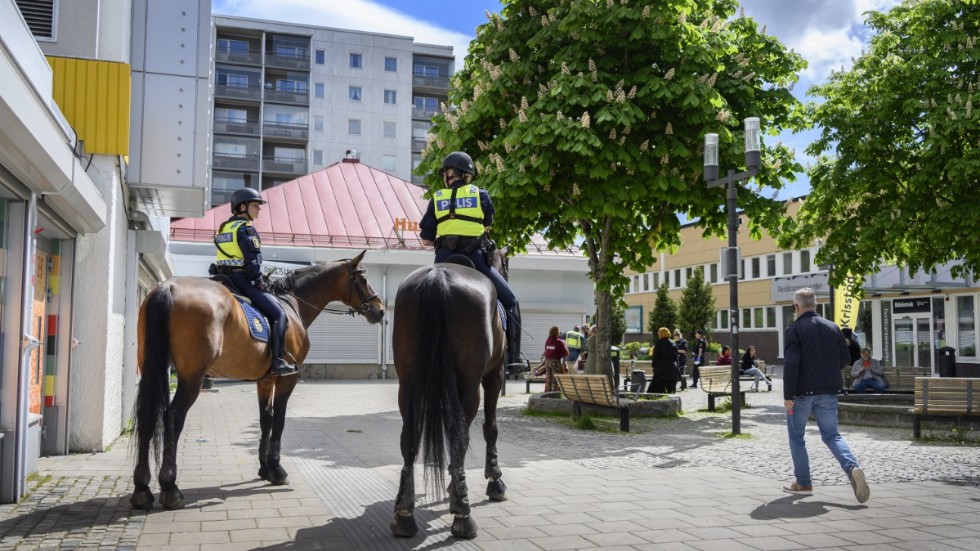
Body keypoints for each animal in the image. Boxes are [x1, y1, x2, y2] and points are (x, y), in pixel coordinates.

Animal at [129, 250, 386, 508]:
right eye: (363, 278)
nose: (381, 310)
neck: (291, 303)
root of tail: (168, 287)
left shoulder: (265, 380)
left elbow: (266, 419)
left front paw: (264, 469)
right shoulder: (287, 379)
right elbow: (279, 420)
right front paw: (276, 469)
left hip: (154, 367)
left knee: (147, 415)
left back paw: (142, 488)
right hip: (192, 377)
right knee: (173, 417)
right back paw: (170, 487)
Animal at [388, 256, 510, 540]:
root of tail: (438, 278)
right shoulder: (494, 375)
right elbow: (490, 427)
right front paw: (494, 480)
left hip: (408, 382)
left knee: (410, 437)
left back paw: (404, 515)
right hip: (470, 384)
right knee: (459, 436)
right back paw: (463, 515)